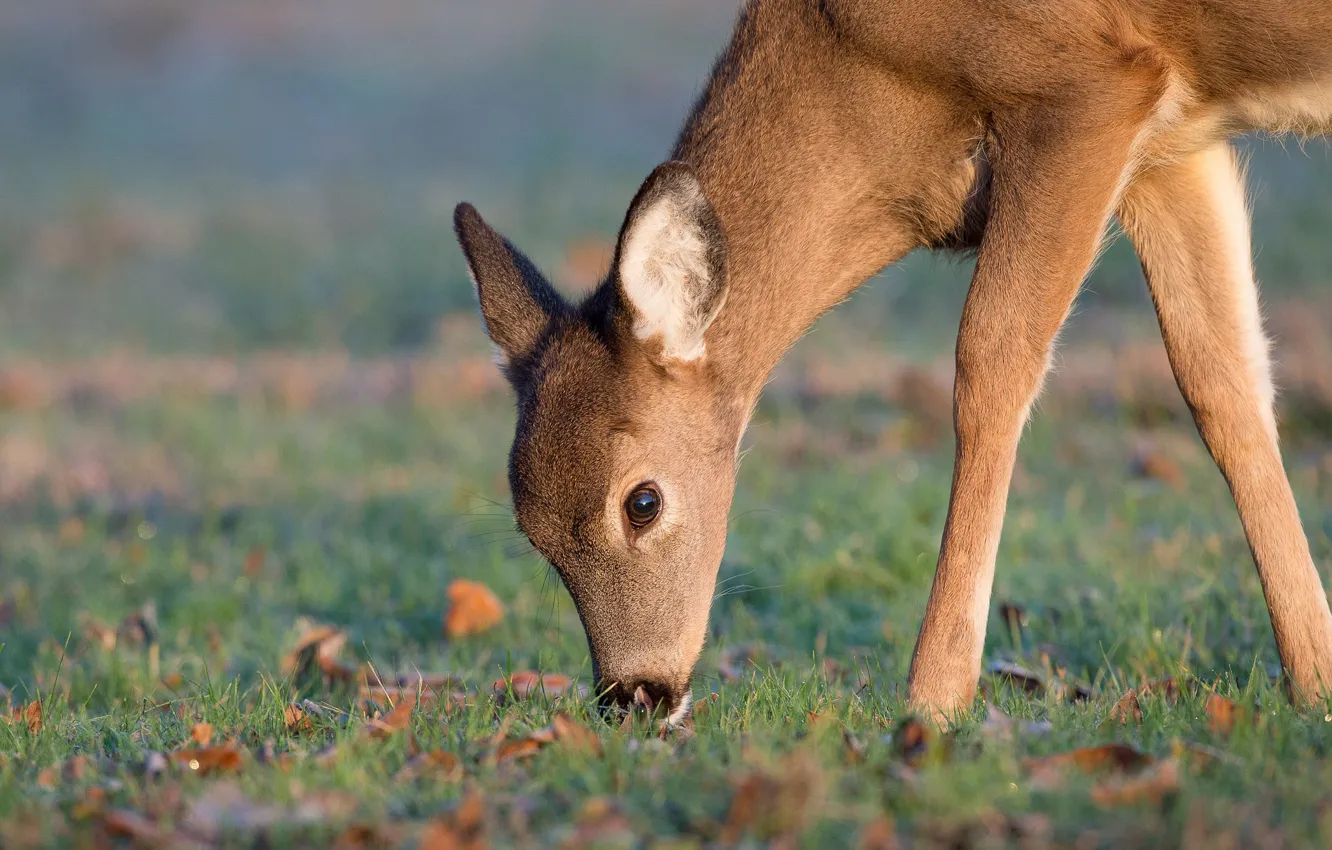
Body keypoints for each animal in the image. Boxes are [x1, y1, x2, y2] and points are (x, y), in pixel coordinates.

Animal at [453, 0, 1332, 725]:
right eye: (531, 531)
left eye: (642, 501)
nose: (635, 695)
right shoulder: (1176, 140)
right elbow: (1222, 379)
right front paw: (1315, 679)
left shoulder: (1091, 88)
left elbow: (990, 361)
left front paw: (934, 698)